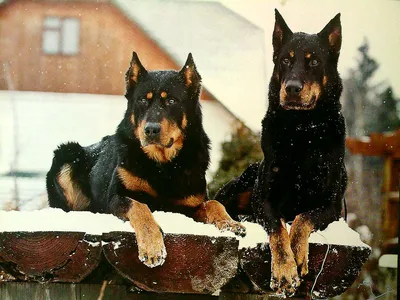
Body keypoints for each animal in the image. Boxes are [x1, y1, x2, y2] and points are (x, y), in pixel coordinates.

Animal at [47, 51, 247, 268]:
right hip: (67, 154)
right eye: (143, 100)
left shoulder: (189, 207)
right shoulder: (116, 198)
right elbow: (140, 207)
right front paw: (152, 247)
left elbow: (214, 204)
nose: (151, 129)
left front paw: (230, 223)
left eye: (171, 101)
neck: (163, 165)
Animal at [216, 9, 346, 298]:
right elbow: (277, 227)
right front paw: (285, 270)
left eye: (314, 61)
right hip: (241, 182)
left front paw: (297, 251)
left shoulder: (332, 207)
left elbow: (302, 218)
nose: (293, 88)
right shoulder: (264, 199)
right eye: (286, 60)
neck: (301, 129)